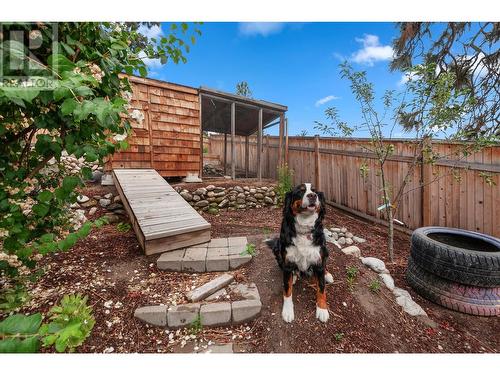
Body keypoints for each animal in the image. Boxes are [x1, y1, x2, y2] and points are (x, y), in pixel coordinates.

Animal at [266, 184, 332, 324]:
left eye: (315, 191)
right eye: (301, 191)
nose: (312, 196)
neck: (304, 228)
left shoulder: (318, 259)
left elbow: (321, 288)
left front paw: (322, 309)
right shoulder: (287, 262)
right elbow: (287, 290)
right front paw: (287, 311)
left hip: (325, 250)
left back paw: (327, 274)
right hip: (278, 249)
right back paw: (295, 275)